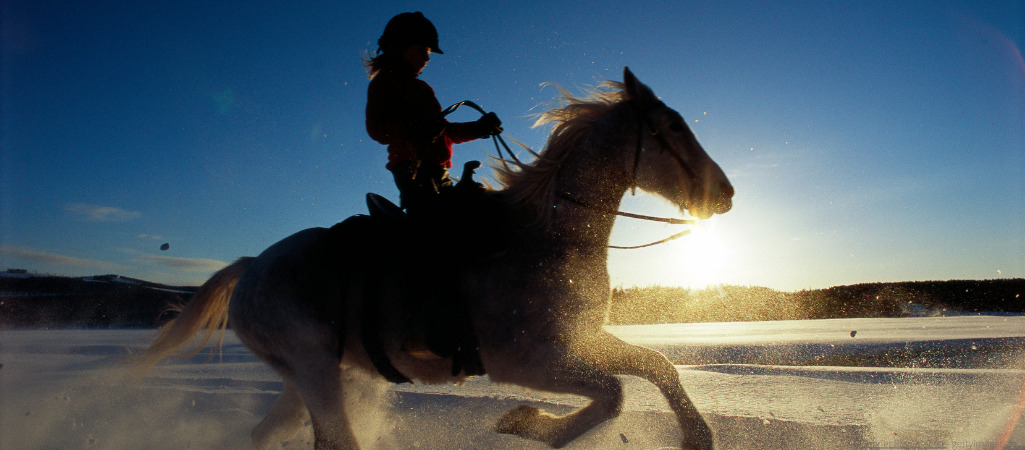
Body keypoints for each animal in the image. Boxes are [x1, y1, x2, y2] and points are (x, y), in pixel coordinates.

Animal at [132, 67, 733, 450]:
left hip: (308, 377)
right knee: (335, 442)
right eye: (671, 127)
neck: (547, 238)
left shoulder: (576, 341)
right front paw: (526, 422)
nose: (724, 194)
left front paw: (698, 436)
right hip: (314, 370)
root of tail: (252, 265)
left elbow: (655, 366)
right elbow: (612, 395)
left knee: (268, 434)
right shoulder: (528, 361)